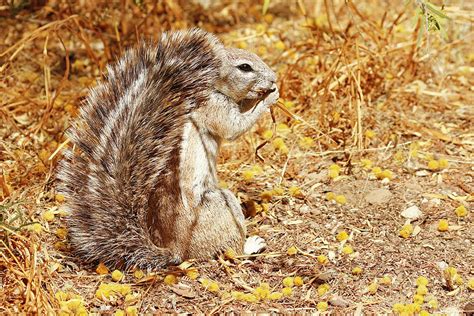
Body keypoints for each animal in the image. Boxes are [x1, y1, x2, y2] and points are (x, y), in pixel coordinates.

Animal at [57, 29, 278, 270]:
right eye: (244, 67)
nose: (273, 78)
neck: (210, 87)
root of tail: (176, 251)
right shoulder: (212, 107)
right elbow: (233, 127)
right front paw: (271, 96)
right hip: (223, 205)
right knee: (231, 251)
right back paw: (251, 245)